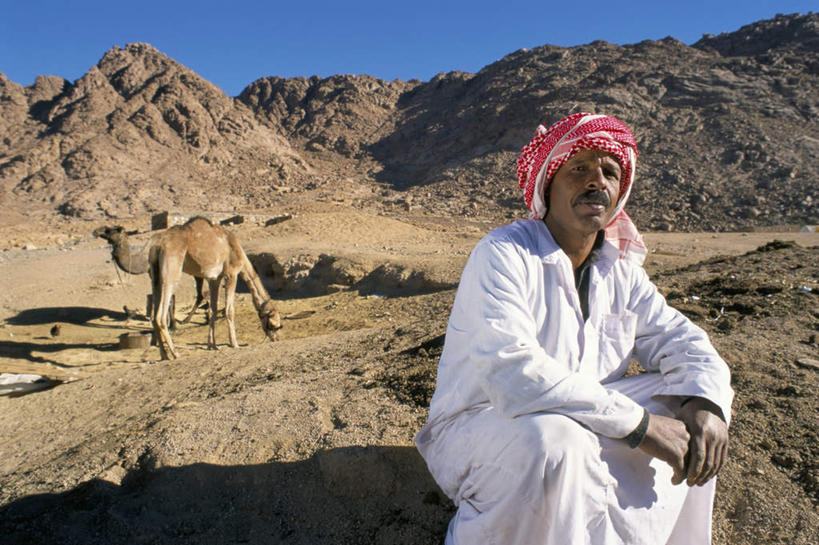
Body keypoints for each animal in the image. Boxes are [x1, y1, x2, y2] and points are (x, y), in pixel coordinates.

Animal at [95, 217, 280, 356]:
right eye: (274, 323)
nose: (276, 338)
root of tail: (156, 244)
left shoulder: (214, 278)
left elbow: (213, 310)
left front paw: (212, 345)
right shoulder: (231, 273)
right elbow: (229, 310)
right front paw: (235, 344)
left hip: (155, 276)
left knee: (155, 312)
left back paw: (164, 355)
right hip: (171, 272)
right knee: (160, 316)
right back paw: (175, 353)